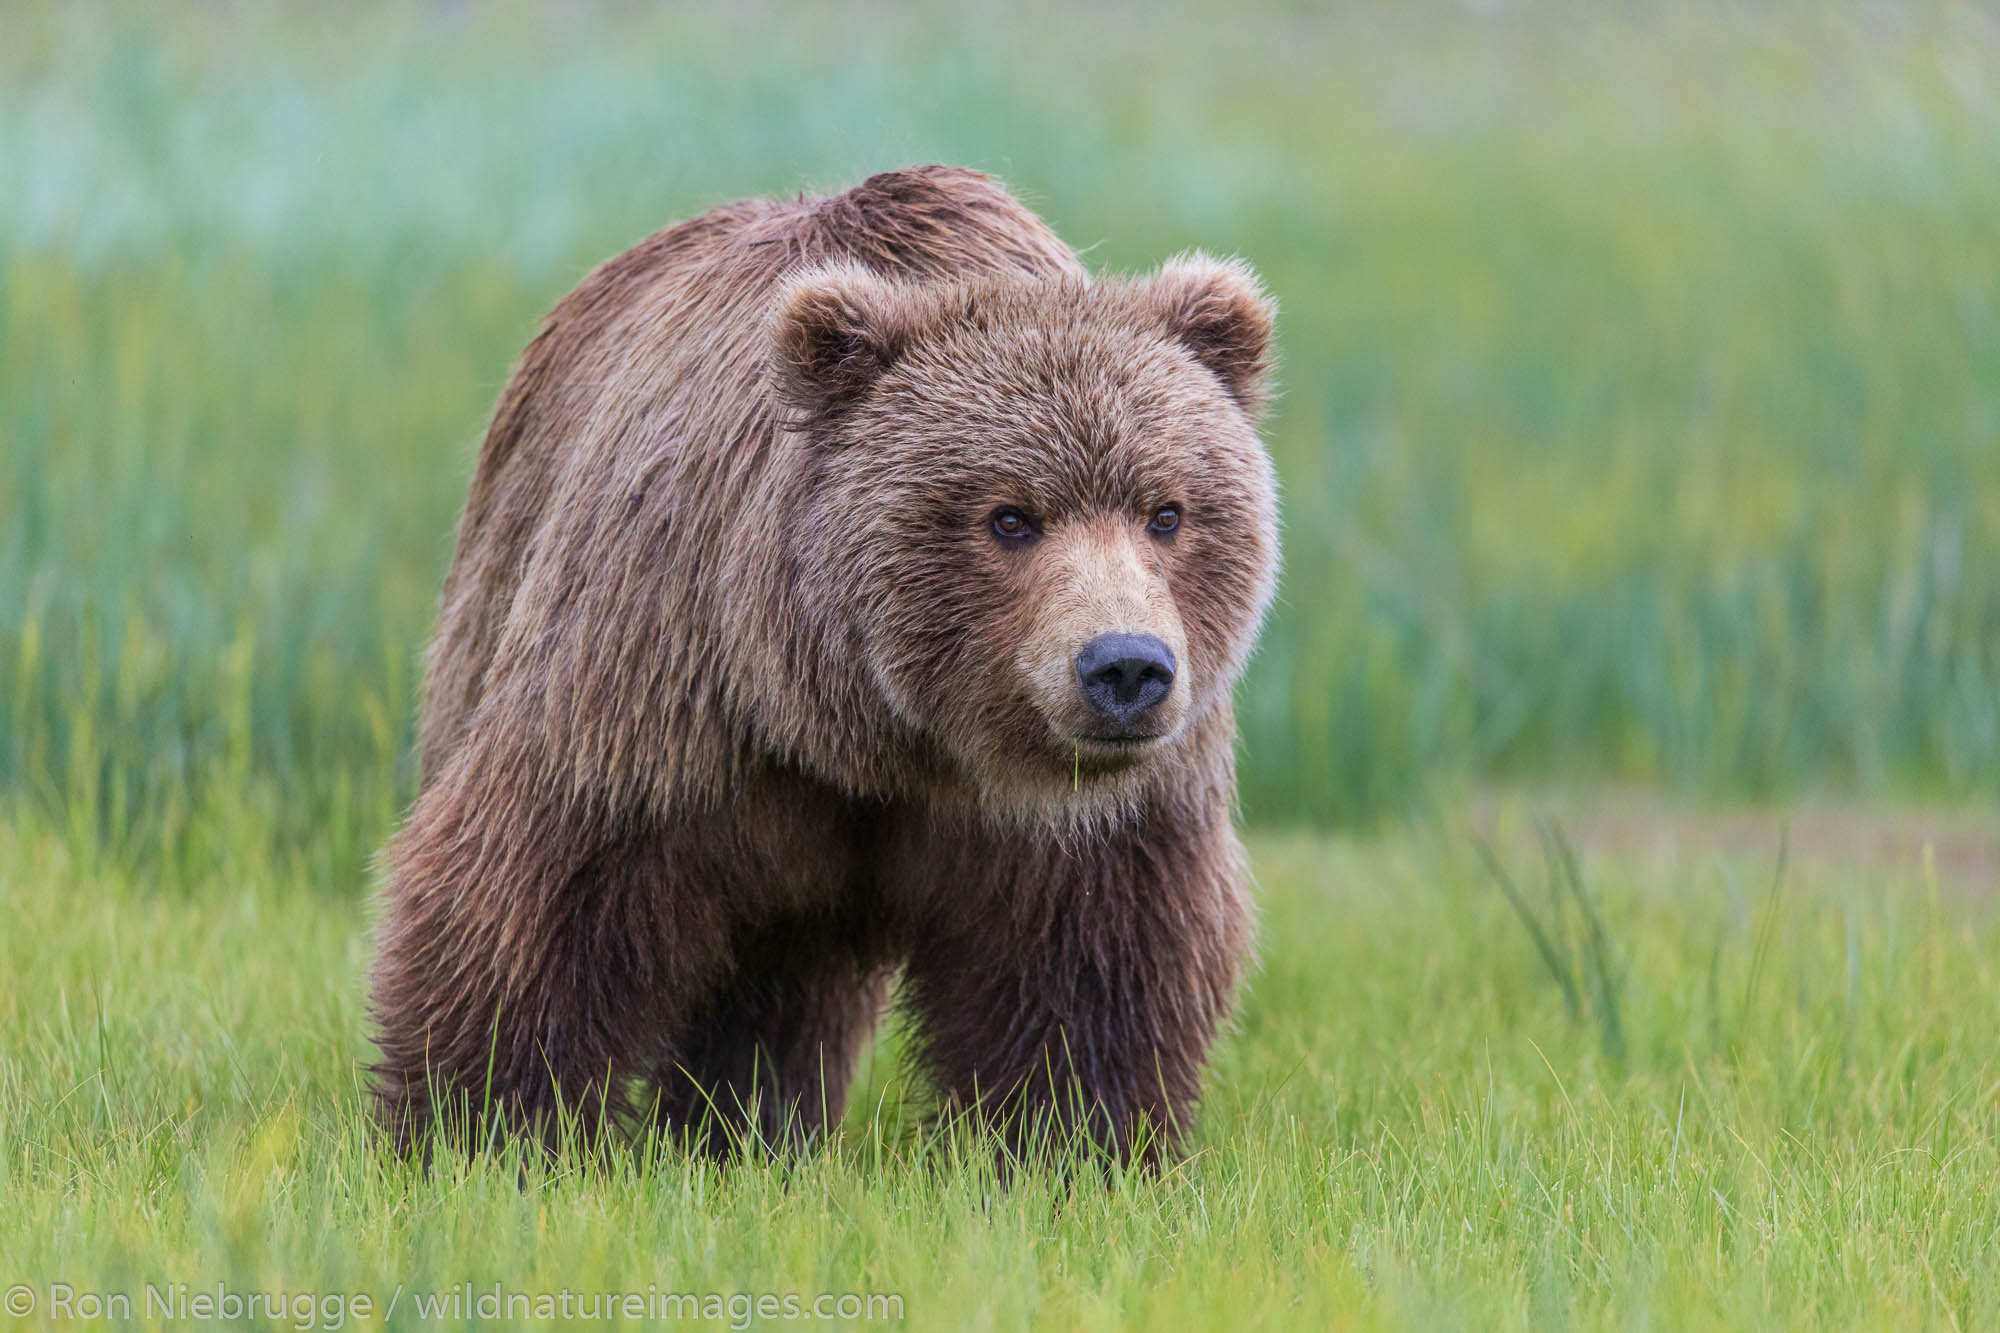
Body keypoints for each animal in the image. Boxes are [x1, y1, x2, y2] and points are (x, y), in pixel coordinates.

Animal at [372, 166, 1280, 1160]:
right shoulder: (664, 695)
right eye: (1010, 517)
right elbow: (536, 894)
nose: (1124, 666)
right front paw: (480, 1130)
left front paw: (1072, 1142)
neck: (871, 733)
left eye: (1167, 511)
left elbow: (1089, 964)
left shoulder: (1076, 817)